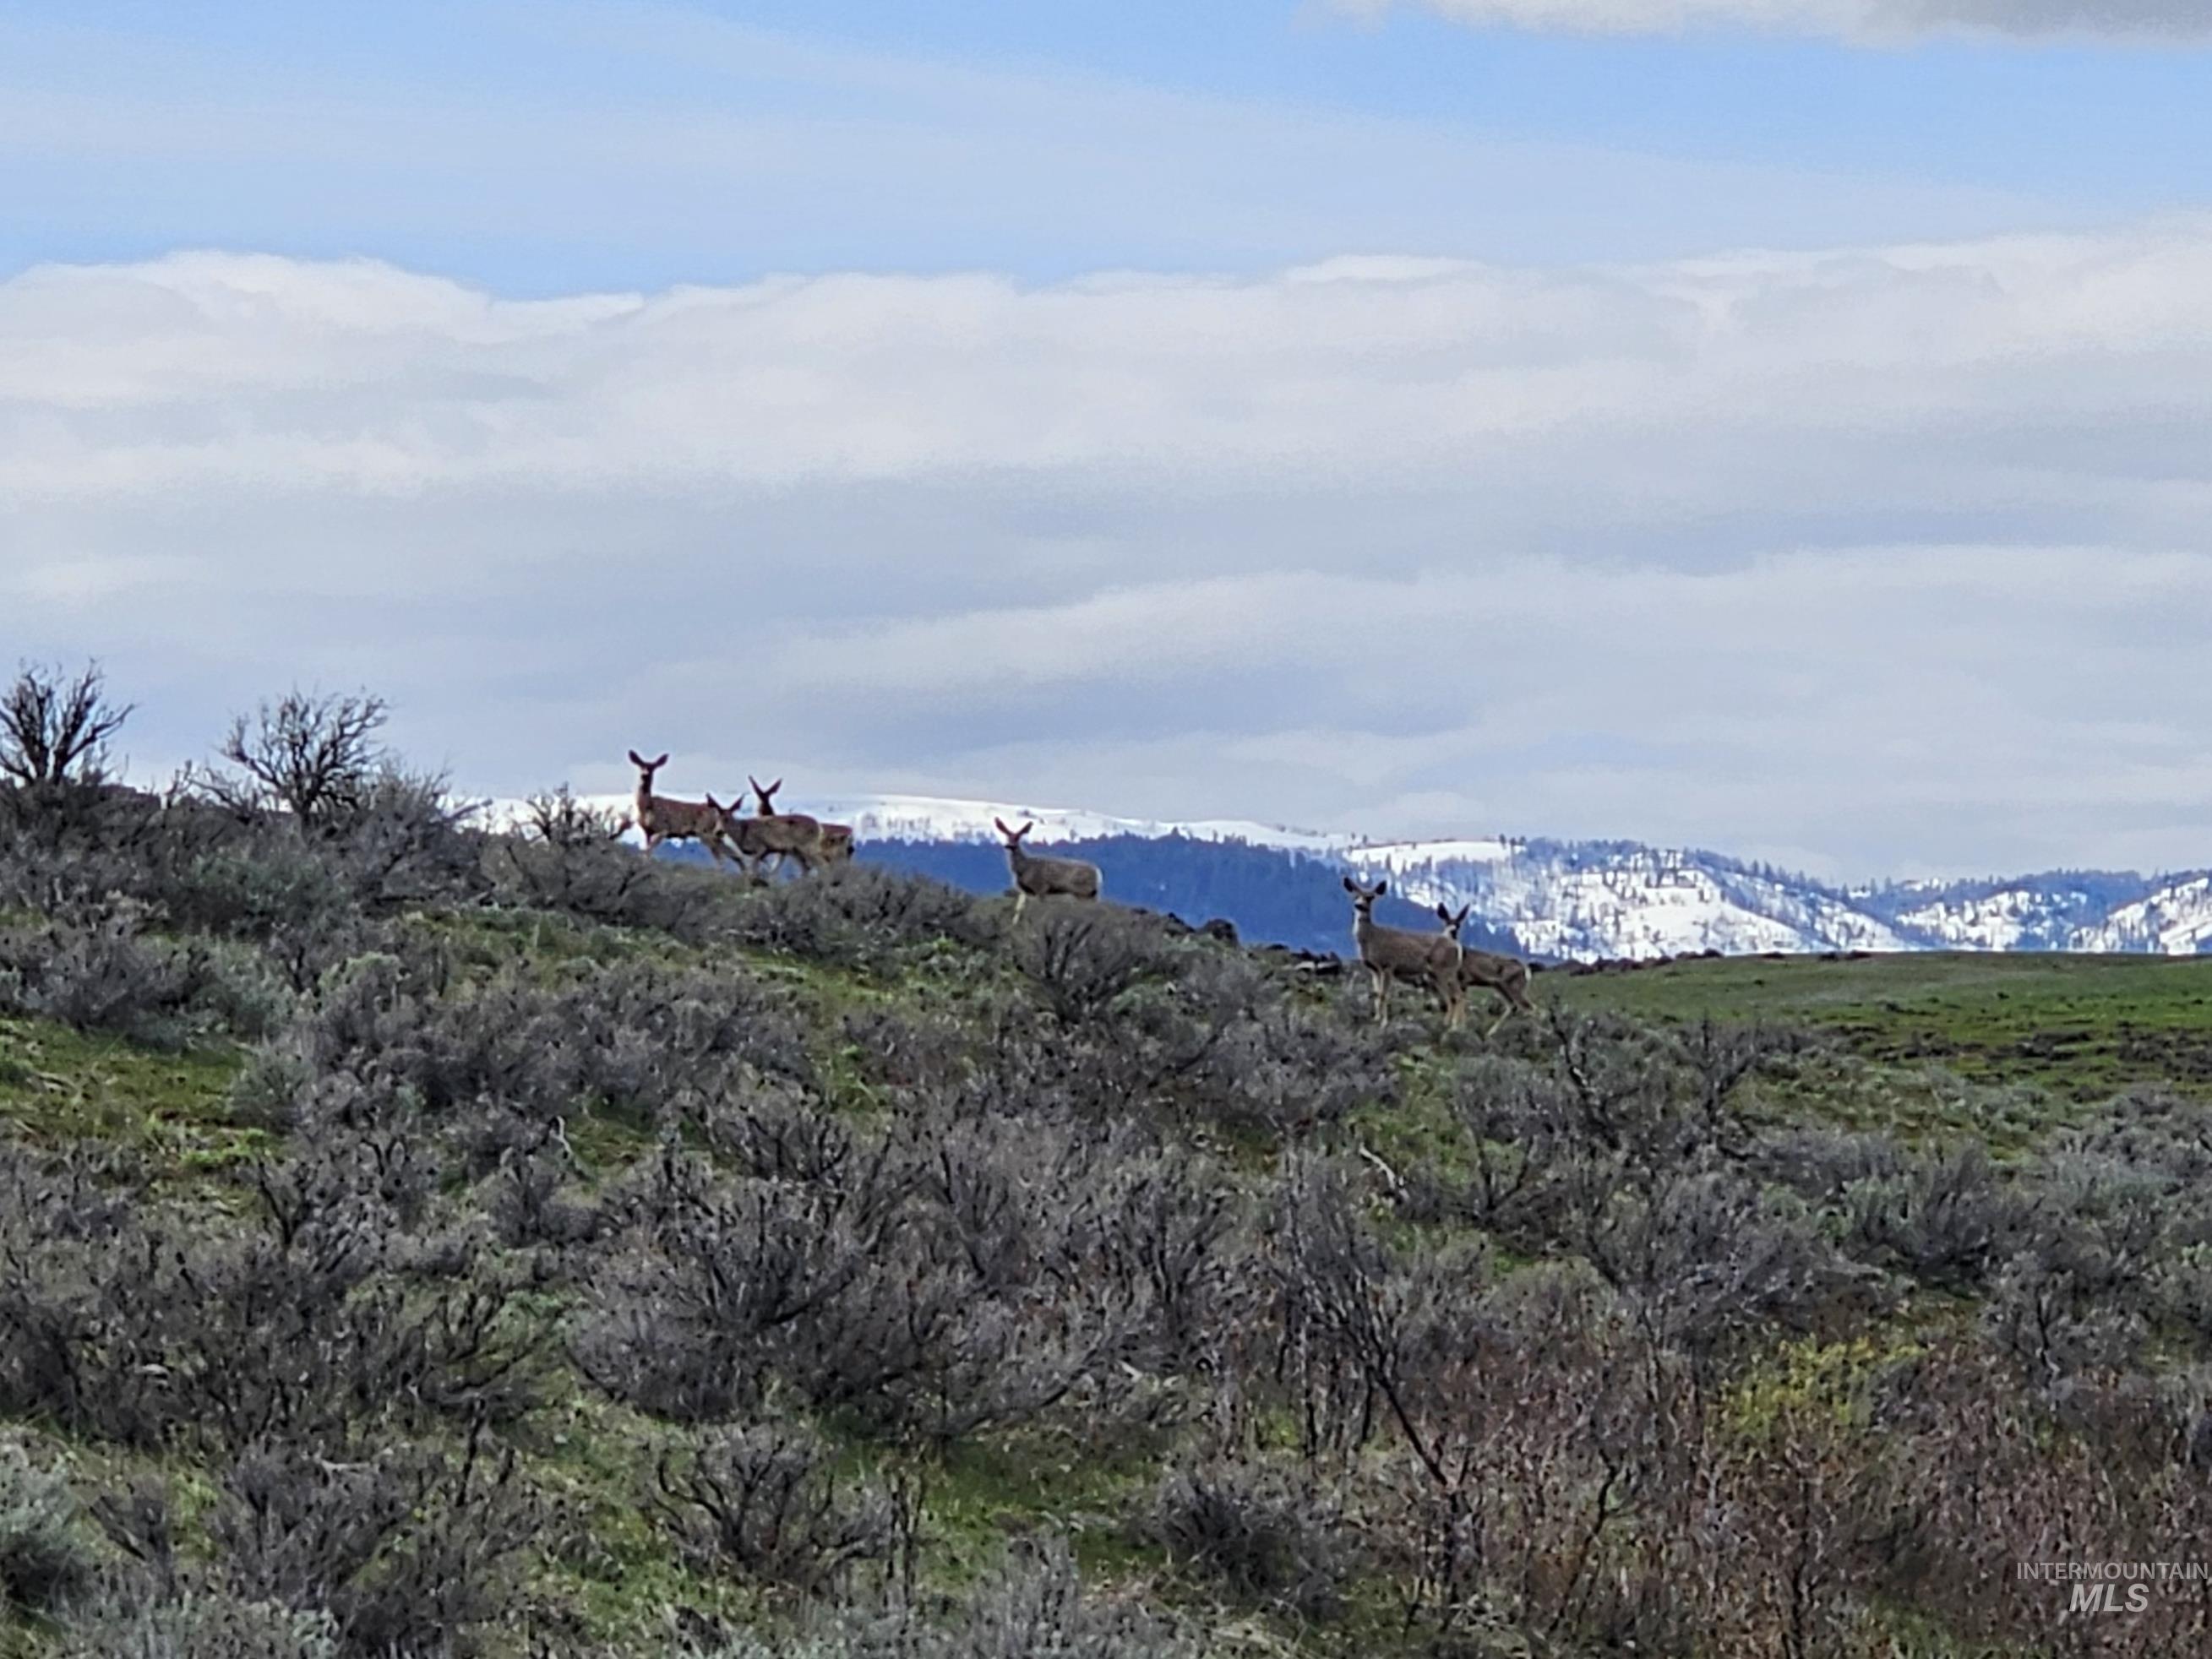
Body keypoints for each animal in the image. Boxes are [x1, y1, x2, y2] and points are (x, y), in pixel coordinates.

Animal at [632, 752, 743, 871]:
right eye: (640, 766)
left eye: (653, 768)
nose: (645, 775)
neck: (647, 807)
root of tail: (717, 812)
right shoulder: (647, 832)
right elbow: (647, 851)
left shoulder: (663, 828)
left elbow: (648, 851)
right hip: (714, 834)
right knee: (732, 854)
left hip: (705, 832)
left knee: (722, 856)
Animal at [1336, 884, 1459, 1026]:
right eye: (1355, 896)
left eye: (1370, 897)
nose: (1359, 905)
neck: (1371, 938)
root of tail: (1457, 946)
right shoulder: (1374, 969)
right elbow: (1377, 993)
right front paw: (1376, 1018)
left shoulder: (1388, 965)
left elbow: (1384, 994)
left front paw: (1384, 1022)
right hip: (1437, 974)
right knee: (1453, 996)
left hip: (1444, 970)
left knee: (1454, 996)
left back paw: (1452, 1025)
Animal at [1433, 902, 1539, 1035]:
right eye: (1446, 922)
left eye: (1458, 925)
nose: (1452, 931)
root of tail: (1525, 969)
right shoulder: (1464, 983)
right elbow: (1460, 1001)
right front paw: (1460, 1026)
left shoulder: (1459, 979)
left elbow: (1457, 1000)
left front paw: (1454, 1027)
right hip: (1500, 986)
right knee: (1513, 1006)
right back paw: (1491, 1032)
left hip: (1514, 986)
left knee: (1530, 1007)